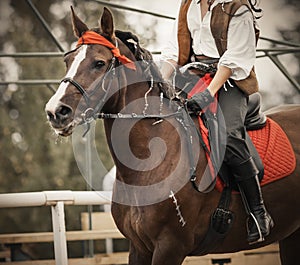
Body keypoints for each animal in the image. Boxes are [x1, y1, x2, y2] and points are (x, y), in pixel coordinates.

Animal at [45, 7, 300, 262]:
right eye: (68, 60)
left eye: (99, 63)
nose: (56, 112)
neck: (148, 160)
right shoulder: (139, 248)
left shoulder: (170, 247)